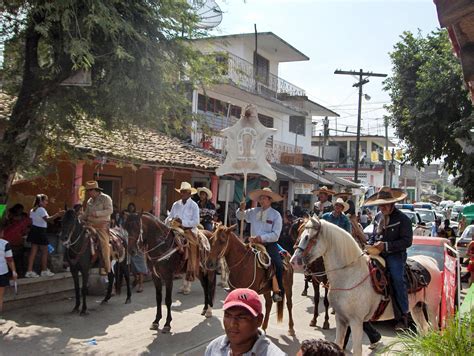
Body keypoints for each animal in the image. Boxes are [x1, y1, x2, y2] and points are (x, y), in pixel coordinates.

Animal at [290, 217, 442, 356]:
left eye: (308, 238)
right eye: (300, 234)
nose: (294, 261)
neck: (350, 275)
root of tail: (430, 261)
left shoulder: (356, 322)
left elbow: (357, 350)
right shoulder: (340, 319)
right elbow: (338, 344)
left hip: (431, 308)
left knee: (434, 330)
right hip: (416, 307)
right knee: (424, 329)